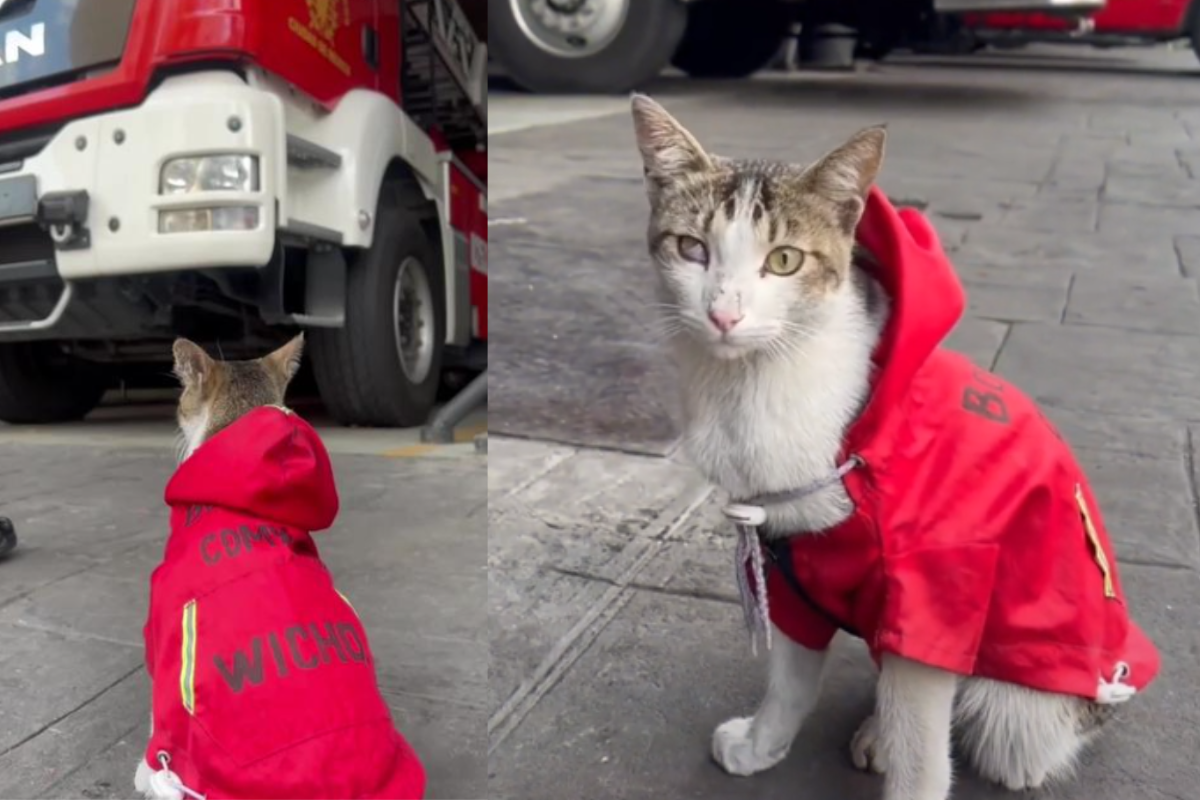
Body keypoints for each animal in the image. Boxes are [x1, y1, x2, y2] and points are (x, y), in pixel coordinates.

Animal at [633, 95, 1156, 800]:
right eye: (692, 248)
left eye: (784, 261)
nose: (724, 314)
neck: (755, 387)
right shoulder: (791, 563)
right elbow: (793, 672)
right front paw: (763, 742)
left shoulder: (936, 585)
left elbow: (922, 741)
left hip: (1031, 704)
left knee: (998, 729)